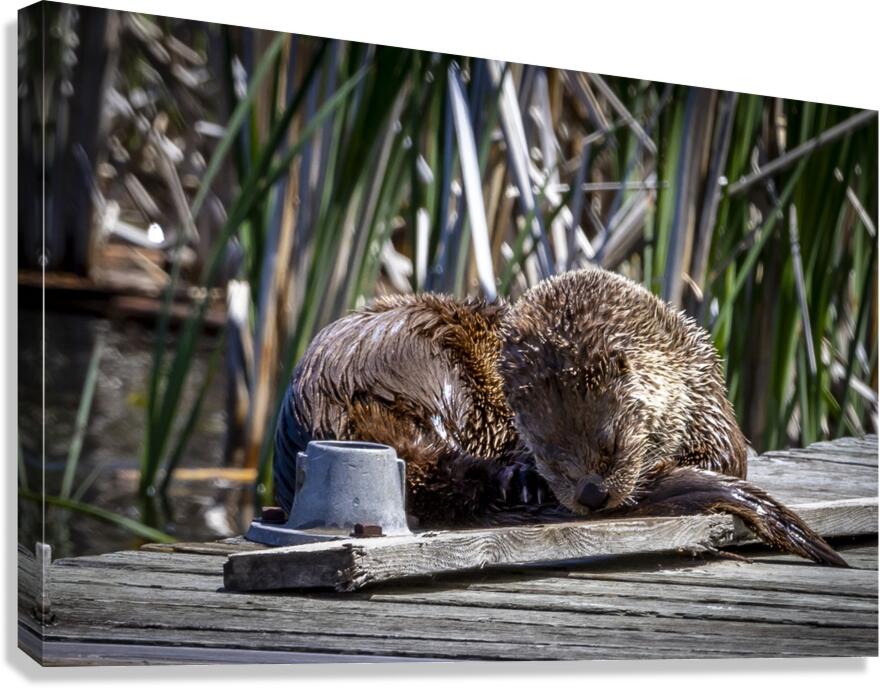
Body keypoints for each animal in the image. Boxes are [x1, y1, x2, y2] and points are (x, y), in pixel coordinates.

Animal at [274, 268, 846, 566]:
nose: (591, 494)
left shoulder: (710, 412)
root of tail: (328, 398)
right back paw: (517, 483)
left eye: (613, 442)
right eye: (552, 452)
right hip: (444, 374)